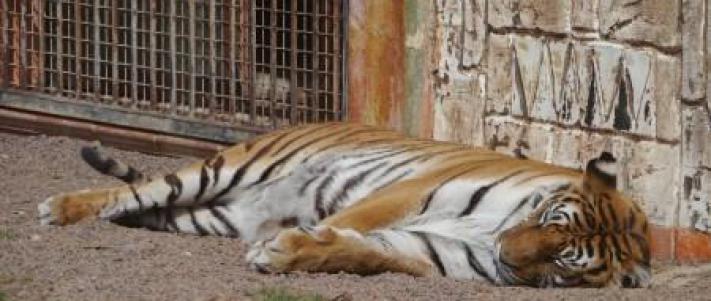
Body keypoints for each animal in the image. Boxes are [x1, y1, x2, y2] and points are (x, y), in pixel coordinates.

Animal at [37, 121, 652, 286]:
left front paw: (286, 252)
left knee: (149, 209)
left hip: (209, 217)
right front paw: (288, 244)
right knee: (133, 189)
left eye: (561, 262)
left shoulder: (437, 252)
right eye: (548, 218)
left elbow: (368, 253)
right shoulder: (412, 190)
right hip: (227, 168)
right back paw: (60, 208)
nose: (506, 252)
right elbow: (351, 220)